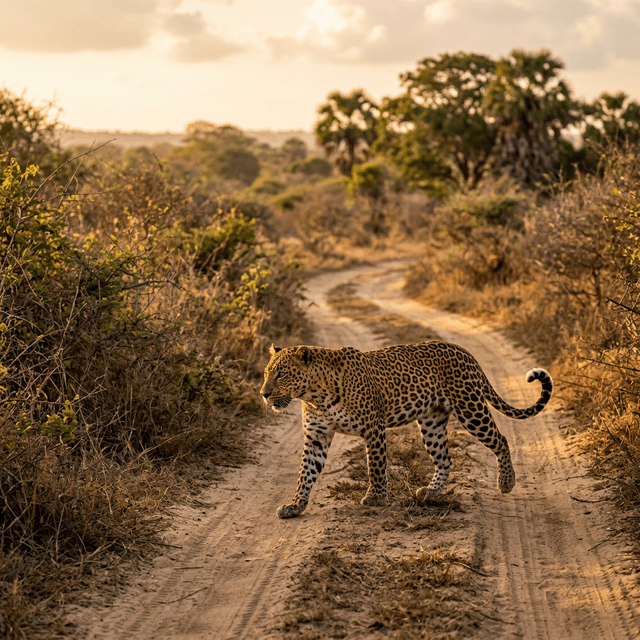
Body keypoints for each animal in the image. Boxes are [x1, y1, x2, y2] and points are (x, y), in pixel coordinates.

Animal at [261, 341, 553, 519]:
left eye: (282, 374)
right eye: (265, 374)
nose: (263, 394)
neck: (314, 395)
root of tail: (465, 351)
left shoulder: (373, 427)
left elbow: (376, 466)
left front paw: (376, 498)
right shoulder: (316, 437)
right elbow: (305, 474)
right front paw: (295, 506)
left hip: (471, 409)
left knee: (501, 440)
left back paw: (506, 482)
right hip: (432, 422)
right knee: (445, 460)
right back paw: (429, 492)